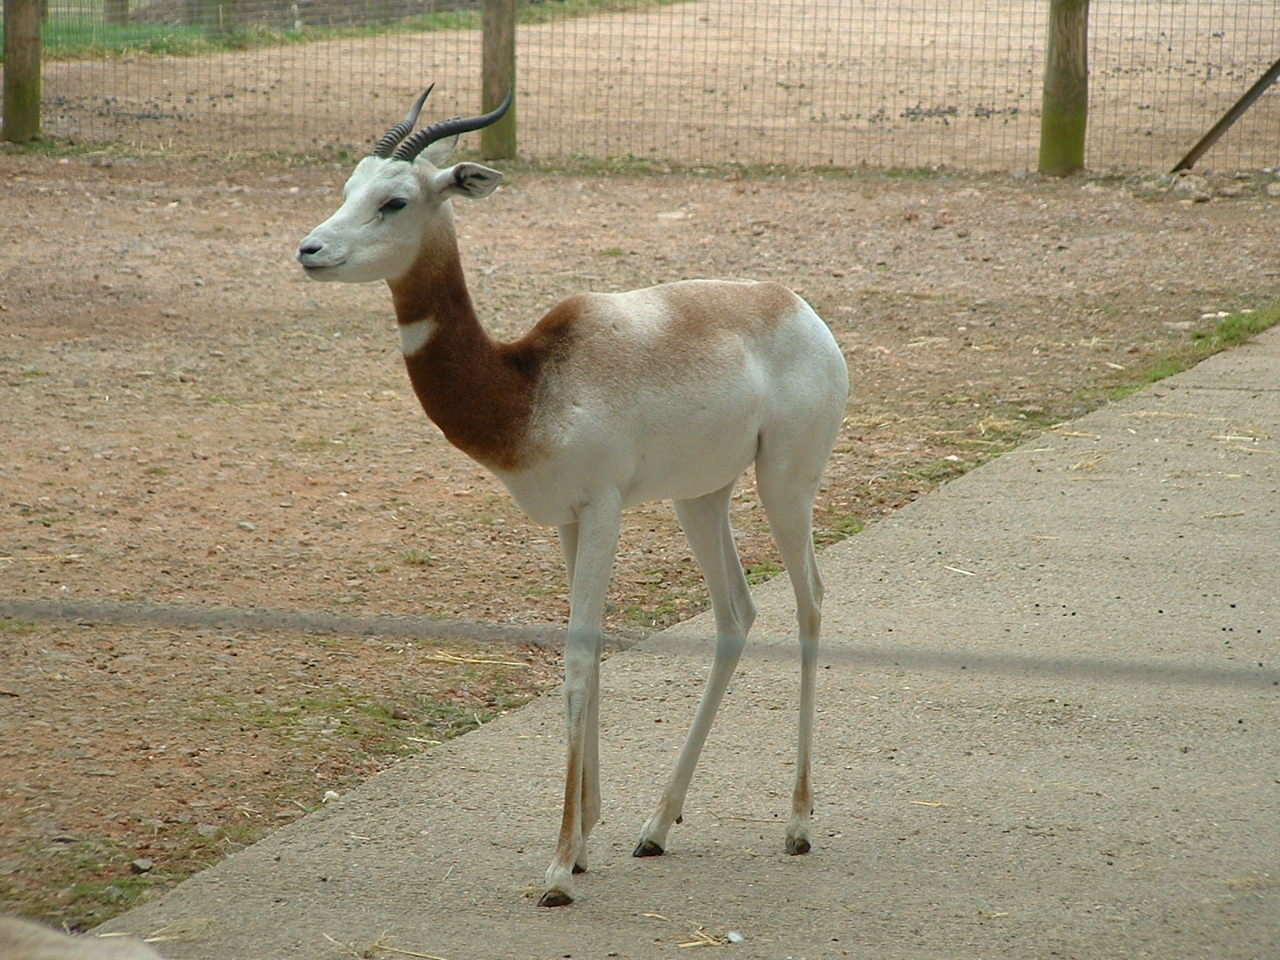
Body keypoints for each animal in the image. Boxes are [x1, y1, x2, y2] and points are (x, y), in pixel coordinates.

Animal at [296, 87, 849, 907]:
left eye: (394, 200)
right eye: (346, 188)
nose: (309, 250)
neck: (528, 385)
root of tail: (799, 306)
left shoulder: (604, 508)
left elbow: (579, 660)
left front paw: (559, 867)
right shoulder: (566, 521)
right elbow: (589, 656)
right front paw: (586, 839)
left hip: (785, 483)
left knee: (810, 601)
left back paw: (799, 823)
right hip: (702, 497)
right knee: (736, 614)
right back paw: (656, 825)